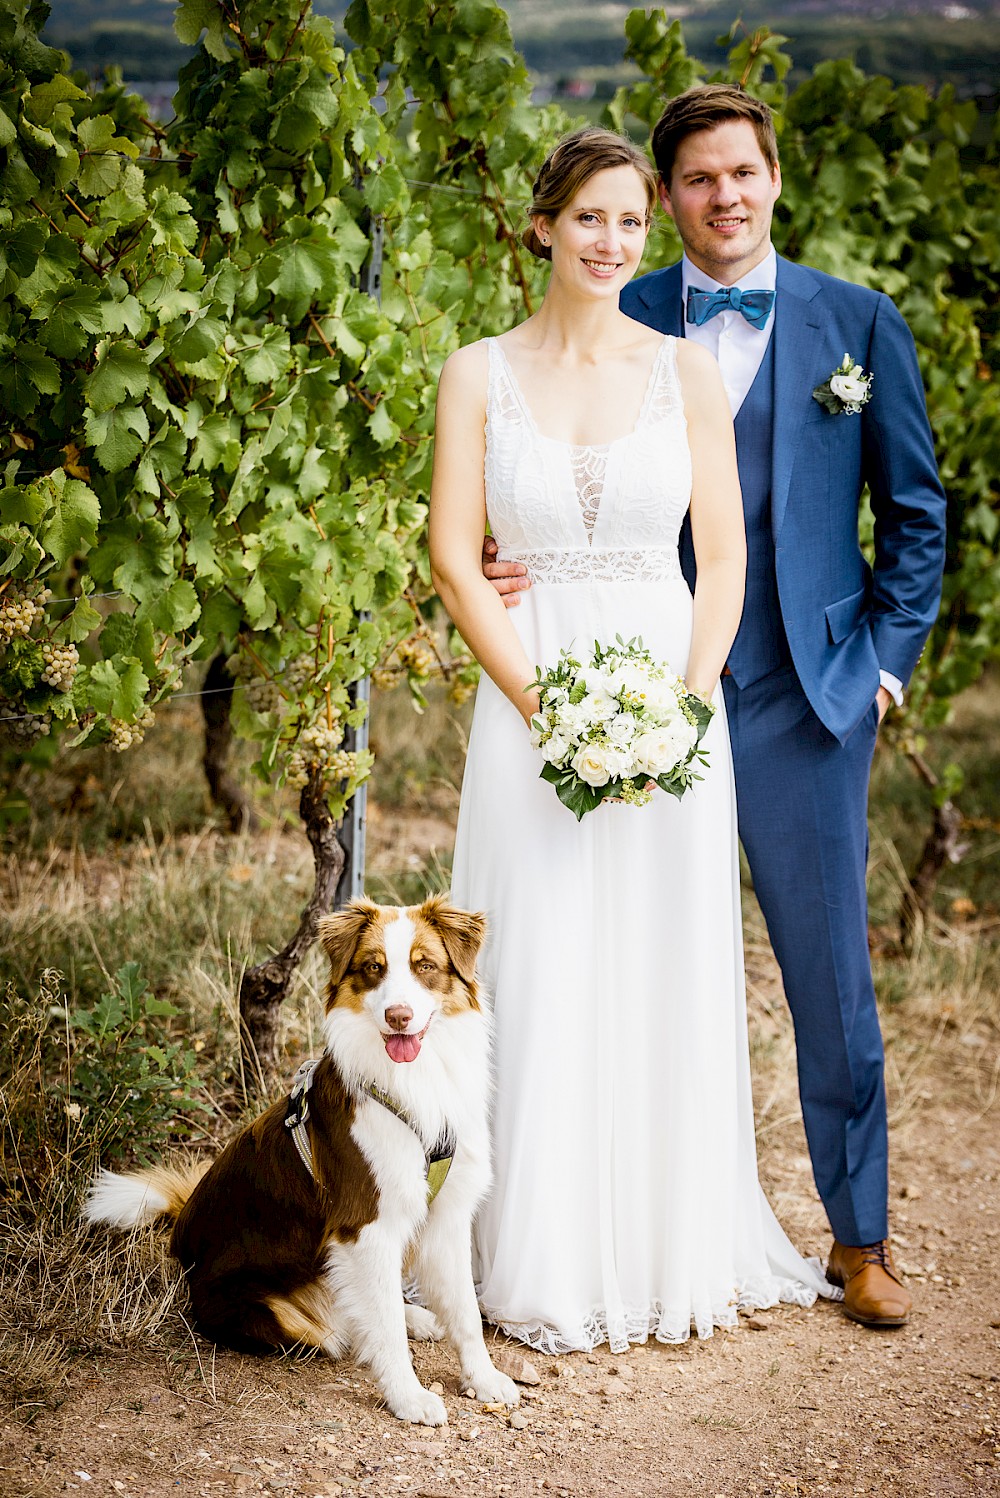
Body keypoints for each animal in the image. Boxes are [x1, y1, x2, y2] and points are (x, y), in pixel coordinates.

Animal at [81, 892, 520, 1420]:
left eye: (425, 966)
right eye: (373, 968)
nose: (397, 1016)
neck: (411, 1084)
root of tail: (181, 1240)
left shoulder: (448, 1216)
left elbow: (466, 1313)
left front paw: (483, 1378)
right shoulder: (365, 1226)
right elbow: (385, 1329)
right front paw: (408, 1396)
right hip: (276, 1314)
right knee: (341, 1326)